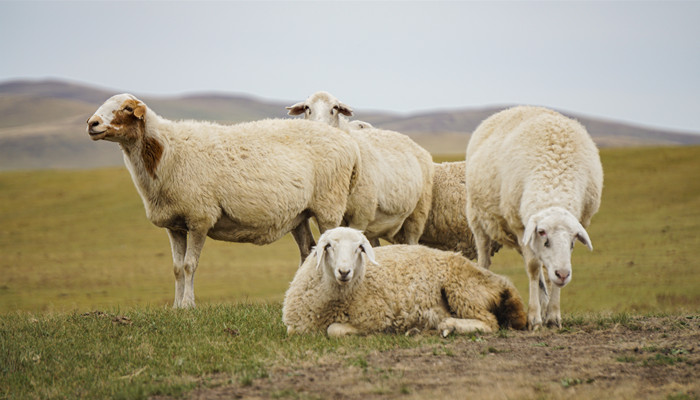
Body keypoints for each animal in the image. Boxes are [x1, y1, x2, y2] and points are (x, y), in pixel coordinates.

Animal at [84, 94, 364, 310]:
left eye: (126, 108)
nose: (92, 123)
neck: (164, 151)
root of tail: (349, 144)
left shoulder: (199, 217)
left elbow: (189, 265)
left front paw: (188, 306)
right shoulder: (174, 225)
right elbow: (176, 268)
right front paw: (176, 307)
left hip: (328, 206)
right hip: (300, 214)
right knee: (308, 251)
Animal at [282, 227, 528, 336]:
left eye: (359, 248)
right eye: (329, 246)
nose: (344, 271)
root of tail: (502, 283)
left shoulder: (376, 317)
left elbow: (335, 329)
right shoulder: (296, 327)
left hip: (461, 289)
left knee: (490, 323)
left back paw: (449, 326)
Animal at [464, 104, 600, 330]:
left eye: (574, 237)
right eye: (542, 232)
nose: (564, 275)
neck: (554, 182)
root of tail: (514, 107)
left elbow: (550, 272)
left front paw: (552, 315)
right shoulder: (521, 227)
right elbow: (533, 268)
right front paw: (534, 318)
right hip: (477, 219)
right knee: (484, 258)